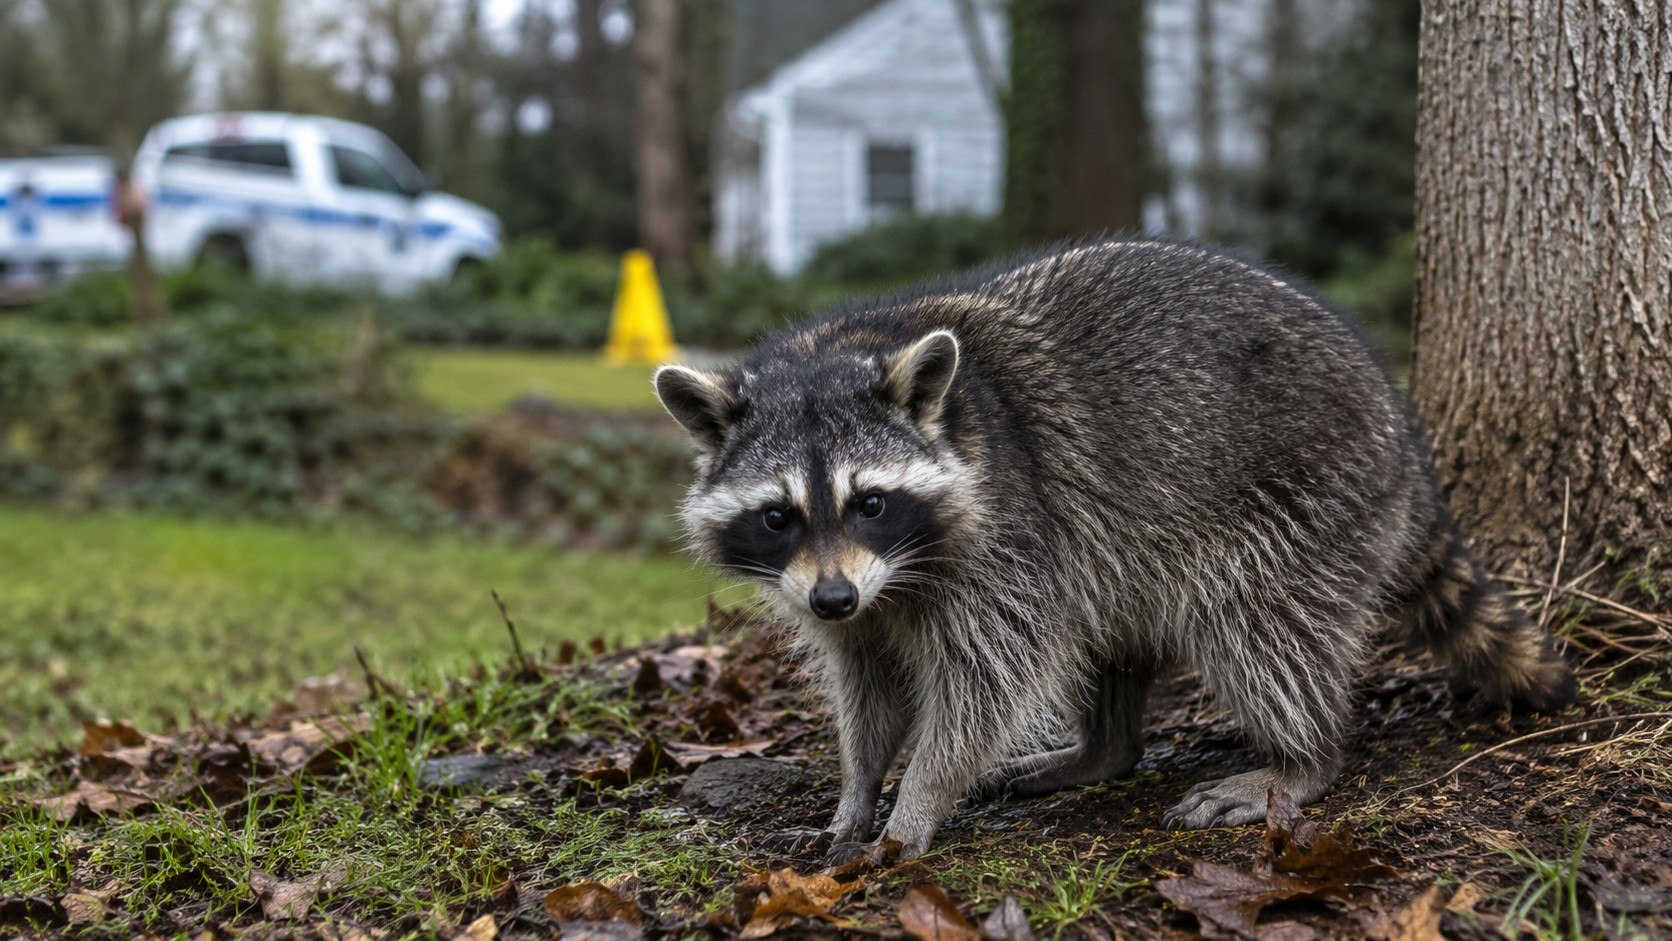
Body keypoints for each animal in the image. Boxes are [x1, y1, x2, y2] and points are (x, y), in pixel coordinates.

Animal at [654, 239, 1574, 863]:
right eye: (778, 516)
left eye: (870, 502)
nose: (834, 599)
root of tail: (1402, 430)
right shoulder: (846, 592)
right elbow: (868, 684)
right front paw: (857, 790)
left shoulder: (1012, 531)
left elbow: (992, 677)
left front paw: (918, 798)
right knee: (1114, 622)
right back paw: (1105, 746)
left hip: (1308, 494)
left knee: (1260, 622)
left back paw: (1303, 755)